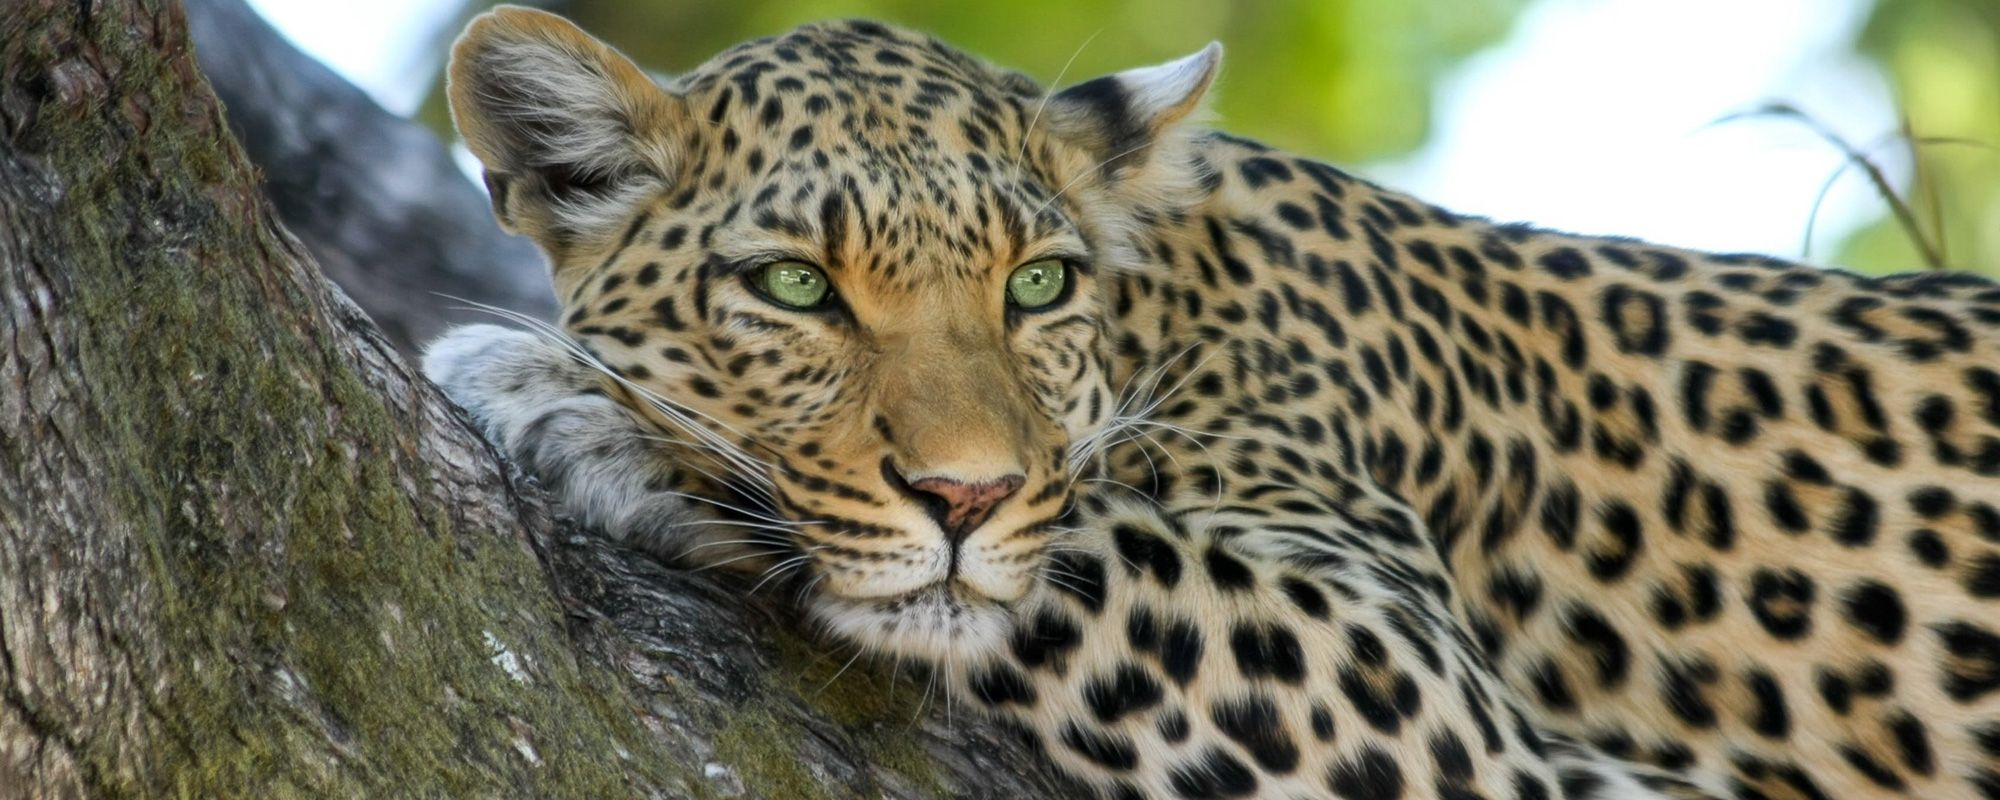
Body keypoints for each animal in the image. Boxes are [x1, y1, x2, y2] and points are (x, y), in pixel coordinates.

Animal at [418, 7, 2000, 800]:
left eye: (1038, 284)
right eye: (796, 288)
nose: (965, 493)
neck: (1167, 309)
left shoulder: (1433, 695)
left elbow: (1089, 546)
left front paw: (580, 406)